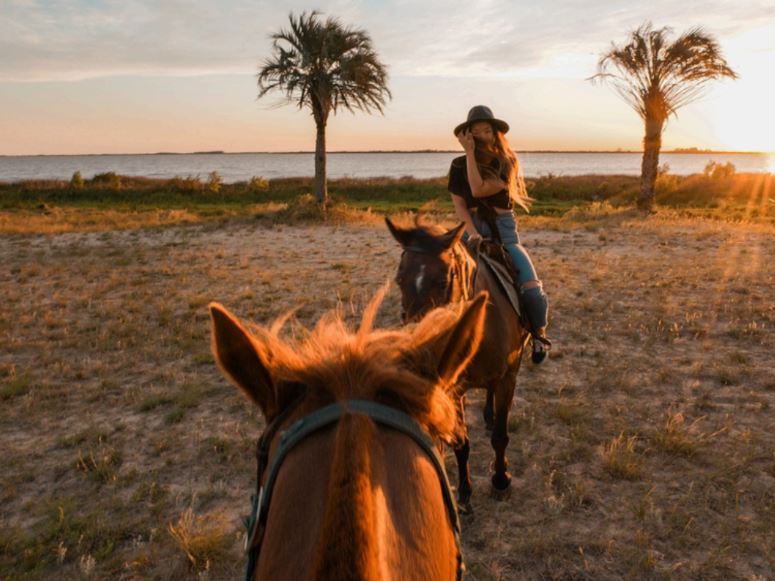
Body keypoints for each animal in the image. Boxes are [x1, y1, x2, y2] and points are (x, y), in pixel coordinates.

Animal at [384, 218, 532, 502]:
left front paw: (500, 480)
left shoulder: (508, 379)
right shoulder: (454, 390)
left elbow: (500, 436)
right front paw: (465, 493)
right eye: (399, 280)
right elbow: (461, 443)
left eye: (444, 280)